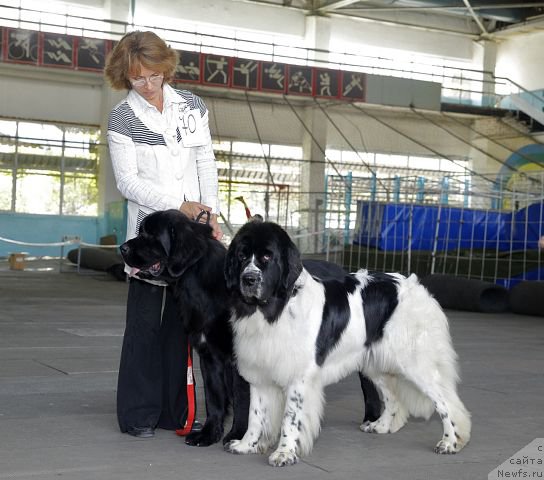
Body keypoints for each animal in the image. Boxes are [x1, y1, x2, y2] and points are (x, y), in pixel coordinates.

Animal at [119, 210, 251, 446]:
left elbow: (241, 400)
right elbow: (214, 398)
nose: (122, 248)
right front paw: (208, 434)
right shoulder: (209, 356)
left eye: (151, 235)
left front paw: (238, 436)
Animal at [225, 220, 472, 464]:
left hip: (415, 362)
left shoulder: (299, 375)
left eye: (267, 257)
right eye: (241, 256)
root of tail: (417, 287)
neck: (275, 308)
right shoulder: (259, 370)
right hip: (376, 363)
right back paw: (381, 426)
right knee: (394, 398)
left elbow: (290, 417)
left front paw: (284, 453)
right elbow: (256, 415)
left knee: (447, 402)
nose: (248, 279)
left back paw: (451, 442)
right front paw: (247, 445)